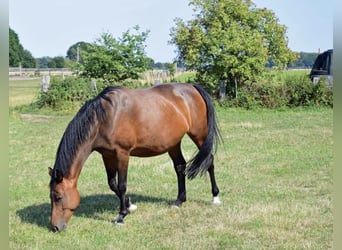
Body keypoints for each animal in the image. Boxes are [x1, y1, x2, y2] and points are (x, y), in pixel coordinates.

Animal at [48, 83, 222, 232]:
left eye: (58, 197)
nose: (55, 227)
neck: (106, 118)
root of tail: (193, 87)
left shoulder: (122, 154)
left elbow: (122, 185)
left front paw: (121, 216)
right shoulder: (107, 155)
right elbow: (112, 184)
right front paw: (130, 205)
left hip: (200, 135)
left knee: (209, 162)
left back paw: (215, 197)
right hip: (173, 143)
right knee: (180, 167)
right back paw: (179, 201)